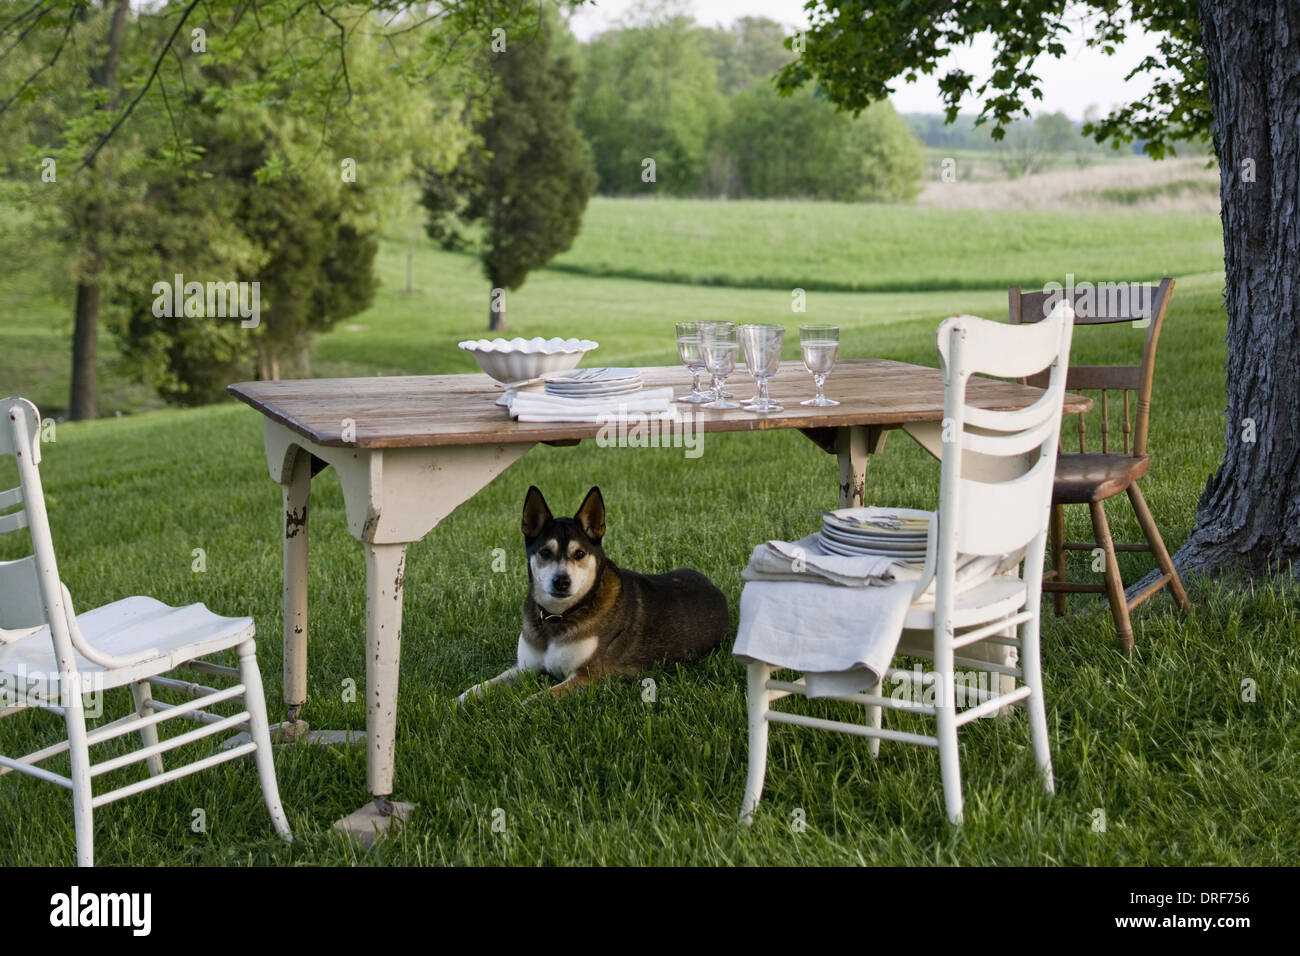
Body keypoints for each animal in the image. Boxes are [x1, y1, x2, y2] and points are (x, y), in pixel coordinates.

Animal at [454, 486, 733, 702]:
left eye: (579, 553)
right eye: (545, 552)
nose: (562, 581)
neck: (559, 616)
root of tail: (714, 588)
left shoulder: (588, 677)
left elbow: (539, 698)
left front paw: (520, 706)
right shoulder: (524, 668)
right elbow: (488, 683)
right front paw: (462, 699)